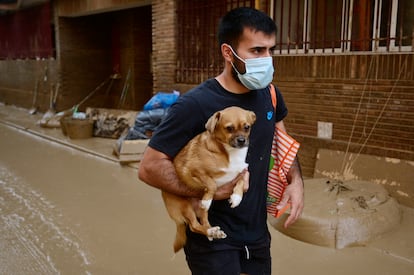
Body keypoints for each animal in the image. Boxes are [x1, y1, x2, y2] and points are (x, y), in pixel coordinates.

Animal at [161, 106, 256, 253]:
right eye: (229, 128)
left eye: (247, 127)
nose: (241, 140)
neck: (229, 152)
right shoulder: (193, 170)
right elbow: (212, 184)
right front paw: (207, 198)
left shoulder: (243, 171)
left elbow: (241, 181)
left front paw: (236, 198)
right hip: (184, 206)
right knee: (194, 225)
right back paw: (210, 228)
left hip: (200, 211)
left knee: (204, 221)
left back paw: (212, 232)